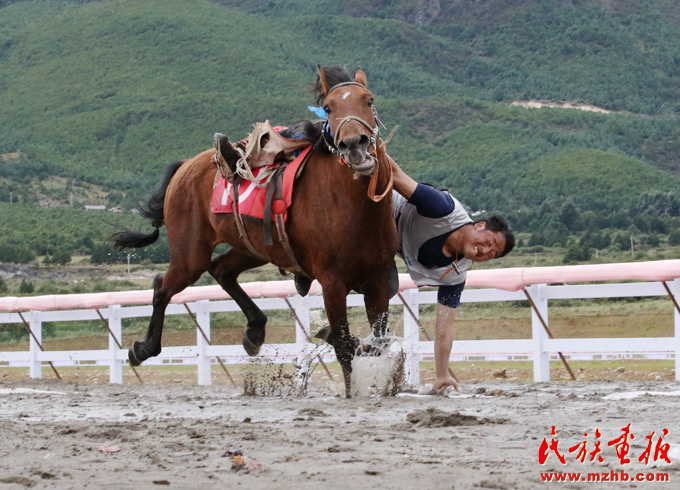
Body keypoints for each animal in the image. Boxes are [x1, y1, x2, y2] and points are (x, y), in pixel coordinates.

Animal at [111, 65, 398, 396]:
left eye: (369, 100)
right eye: (328, 107)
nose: (354, 145)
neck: (353, 209)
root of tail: (185, 166)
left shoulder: (378, 281)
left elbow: (377, 342)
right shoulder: (332, 283)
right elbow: (342, 342)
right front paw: (352, 388)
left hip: (254, 247)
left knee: (221, 270)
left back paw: (255, 329)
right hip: (189, 255)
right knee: (163, 285)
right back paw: (144, 348)